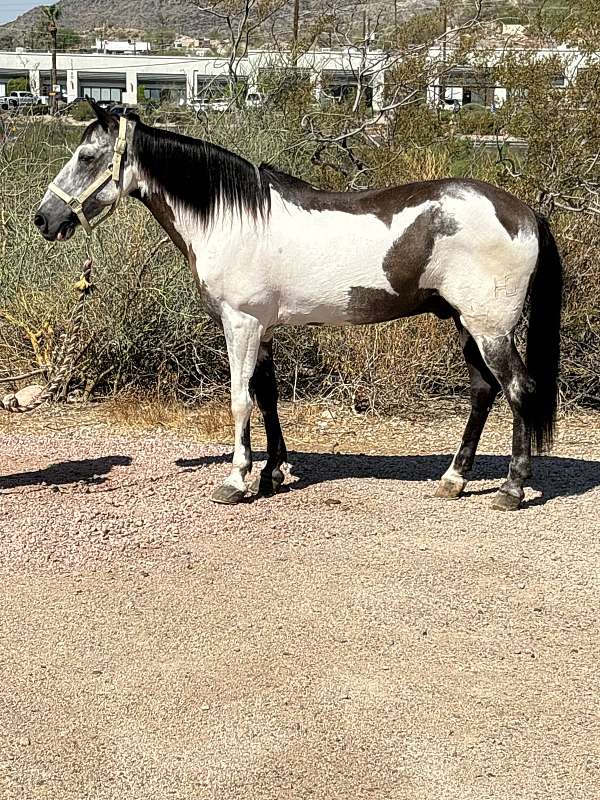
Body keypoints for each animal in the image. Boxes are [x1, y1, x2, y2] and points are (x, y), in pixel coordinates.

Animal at [35, 100, 564, 510]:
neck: (233, 218)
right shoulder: (263, 329)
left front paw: (236, 480)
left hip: (490, 329)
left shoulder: (241, 324)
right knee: (483, 391)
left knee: (518, 390)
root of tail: (524, 212)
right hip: (465, 323)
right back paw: (453, 479)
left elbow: (240, 400)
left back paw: (512, 489)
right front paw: (272, 473)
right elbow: (267, 398)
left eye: (87, 156)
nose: (44, 219)